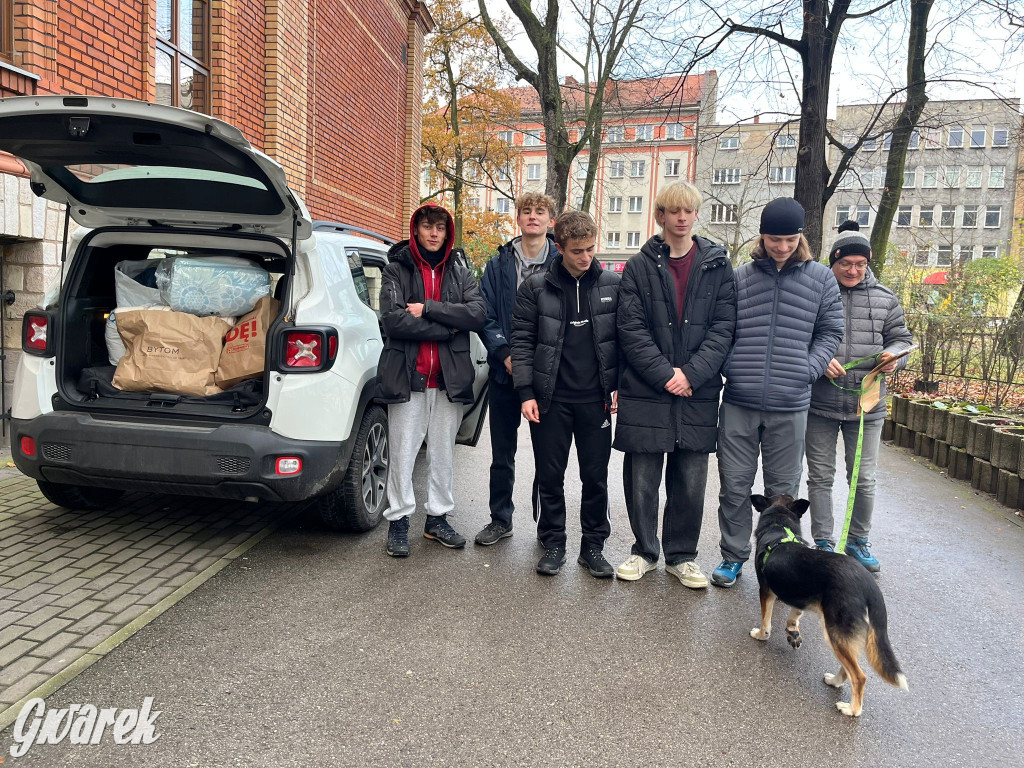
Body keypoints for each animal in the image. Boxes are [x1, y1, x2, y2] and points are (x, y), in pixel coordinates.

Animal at [749, 495, 909, 720]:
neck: (779, 528)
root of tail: (869, 586)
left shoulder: (766, 591)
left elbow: (766, 621)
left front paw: (761, 635)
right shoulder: (802, 598)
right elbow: (794, 615)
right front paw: (792, 632)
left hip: (835, 632)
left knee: (859, 676)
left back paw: (852, 709)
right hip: (844, 636)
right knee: (849, 668)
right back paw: (834, 681)